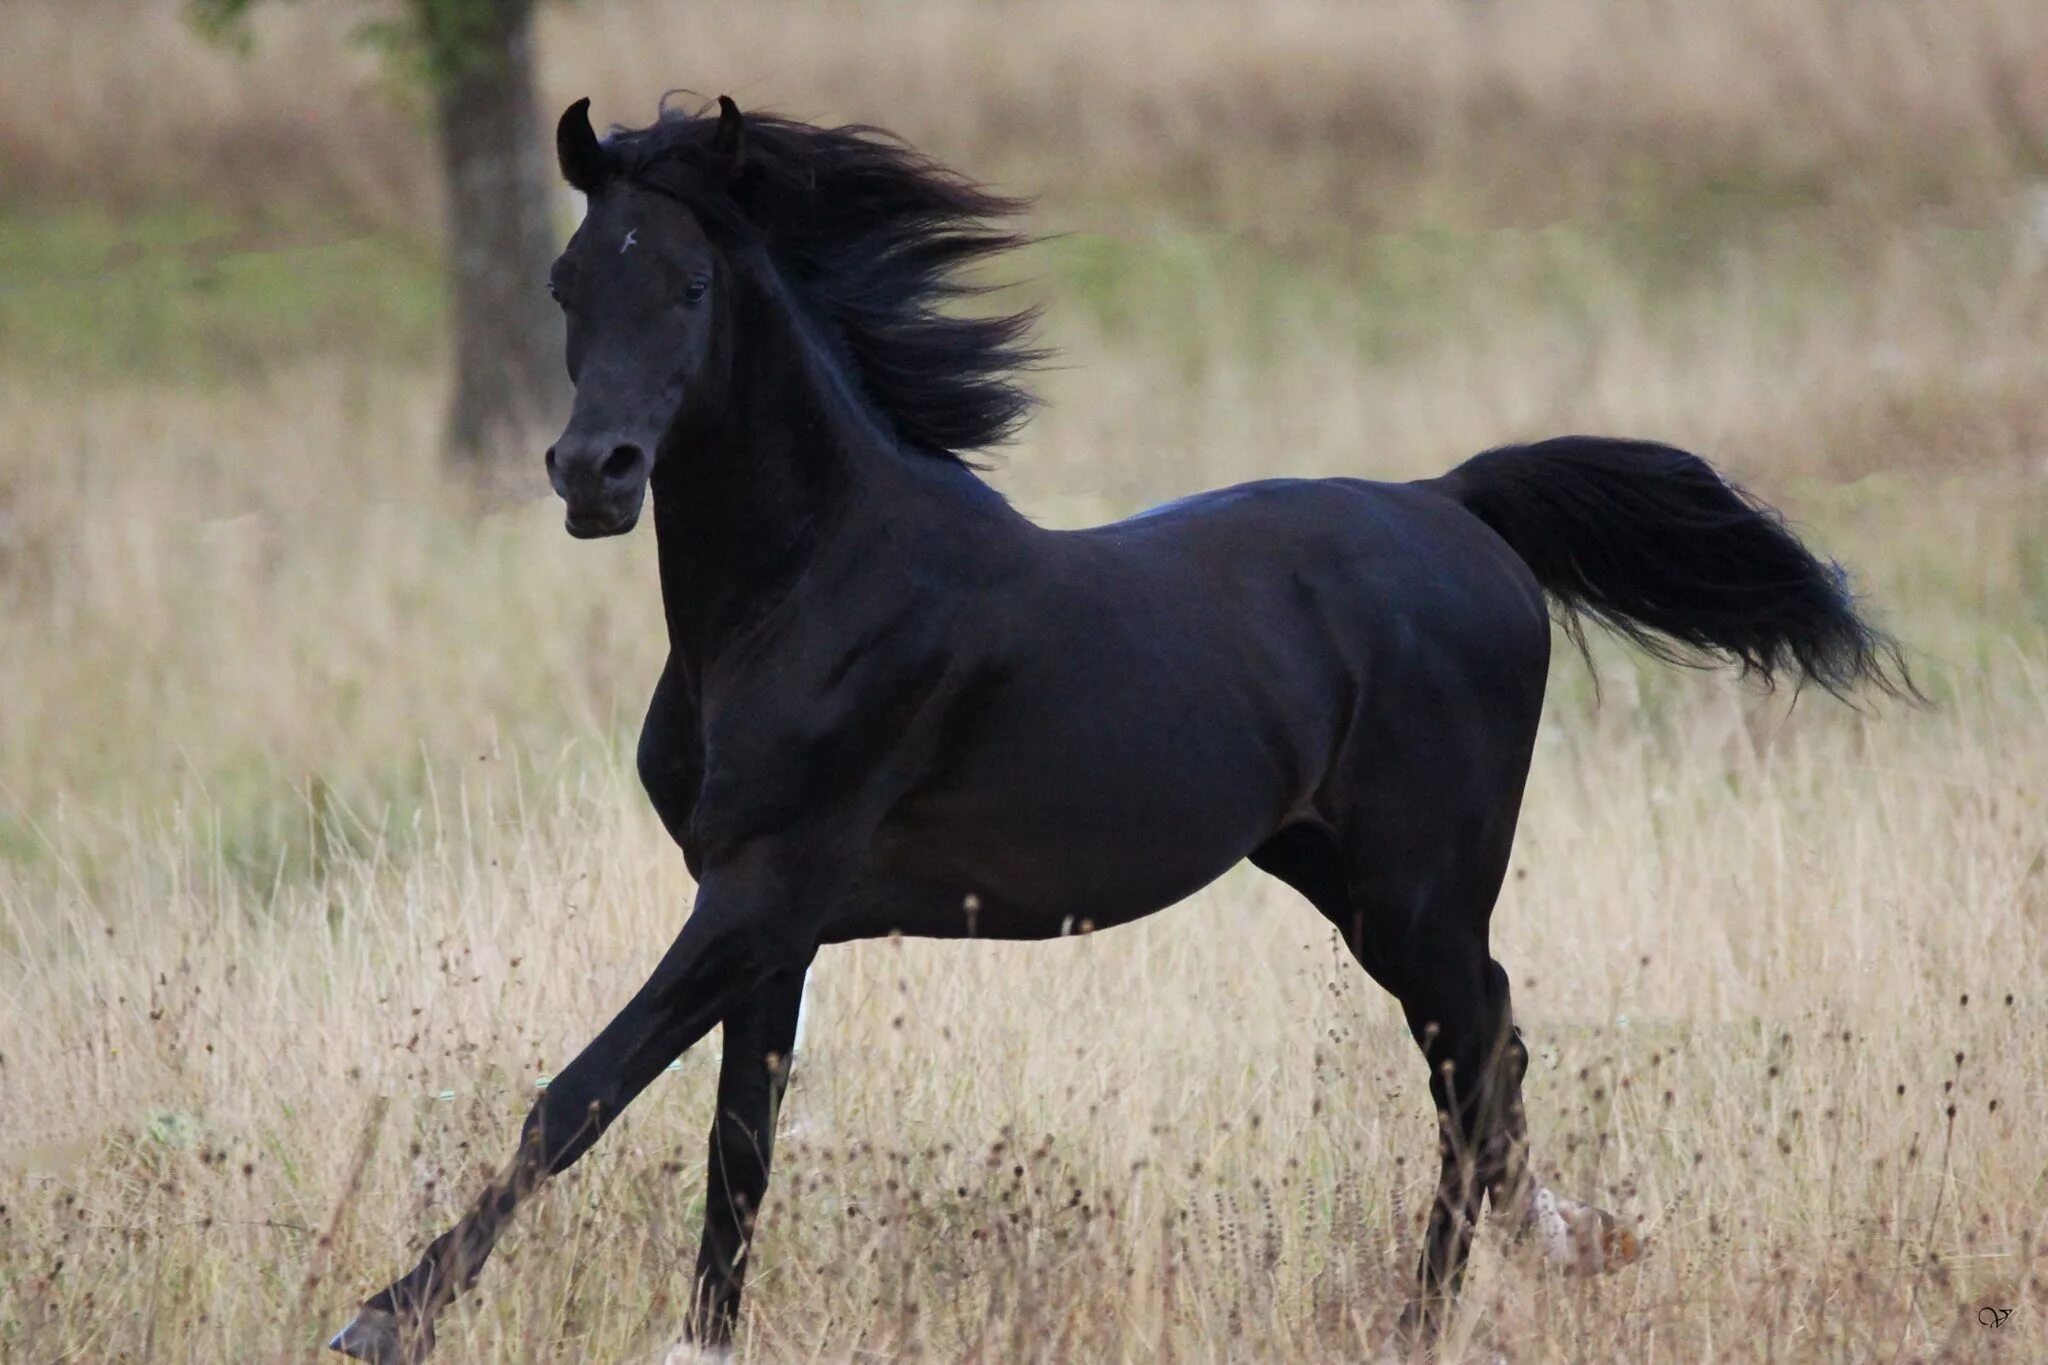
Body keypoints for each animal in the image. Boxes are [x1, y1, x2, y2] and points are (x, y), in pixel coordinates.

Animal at [327, 98, 1908, 1365]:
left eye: (693, 283)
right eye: (568, 280)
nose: (592, 474)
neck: (802, 591)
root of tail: (1452, 503)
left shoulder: (760, 891)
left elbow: (576, 1095)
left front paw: (380, 1320)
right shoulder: (768, 922)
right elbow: (736, 1144)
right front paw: (696, 1339)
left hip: (1415, 885)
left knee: (1472, 1057)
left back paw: (1428, 1314)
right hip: (1330, 868)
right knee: (1497, 1050)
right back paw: (1570, 1247)